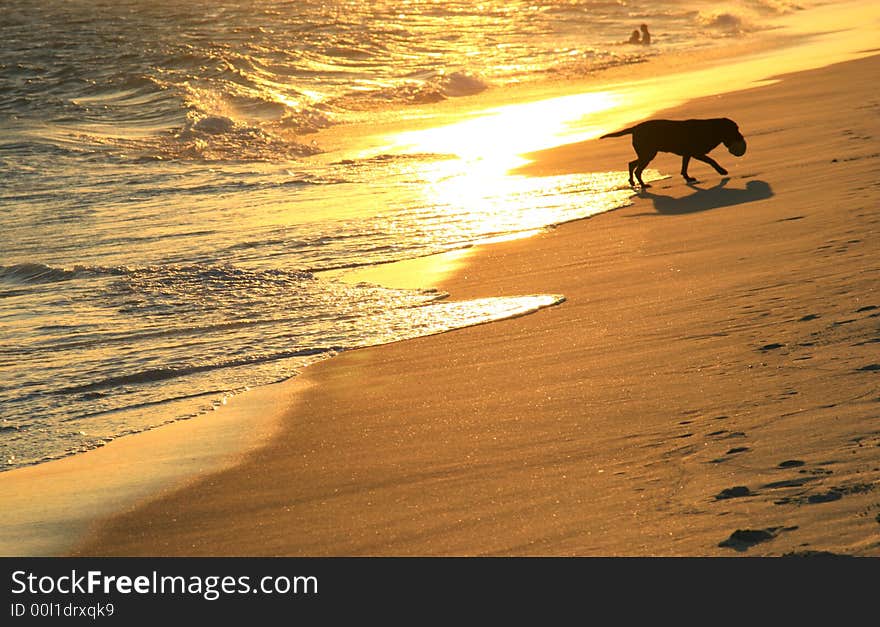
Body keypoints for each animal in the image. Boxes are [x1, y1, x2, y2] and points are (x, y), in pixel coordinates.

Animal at [600, 118, 744, 186]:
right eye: (735, 129)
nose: (742, 137)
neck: (711, 130)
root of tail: (635, 128)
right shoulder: (695, 153)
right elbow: (711, 160)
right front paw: (722, 171)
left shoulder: (687, 154)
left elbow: (684, 168)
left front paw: (688, 178)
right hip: (648, 154)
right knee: (637, 170)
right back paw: (643, 185)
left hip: (646, 153)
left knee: (631, 164)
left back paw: (632, 182)